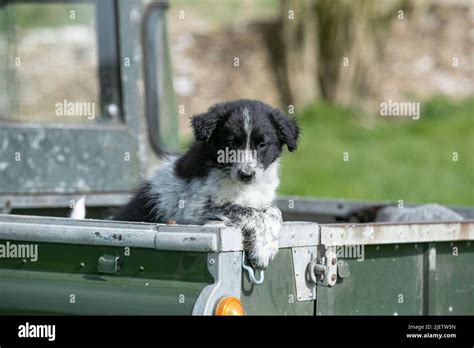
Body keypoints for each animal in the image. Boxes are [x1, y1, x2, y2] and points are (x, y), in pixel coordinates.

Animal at [112, 99, 300, 270]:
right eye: (232, 143)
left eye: (262, 145)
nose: (246, 175)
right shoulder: (194, 209)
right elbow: (250, 212)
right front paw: (263, 251)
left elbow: (274, 211)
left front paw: (267, 245)